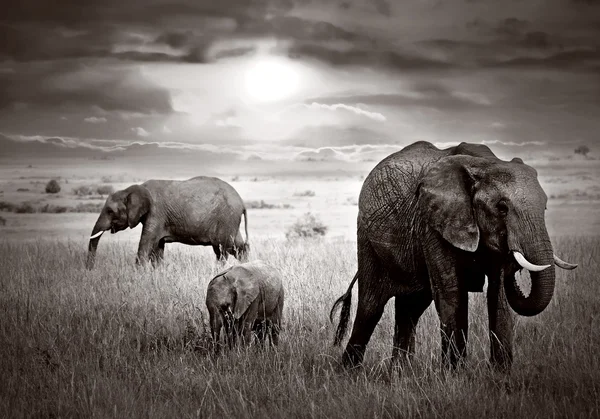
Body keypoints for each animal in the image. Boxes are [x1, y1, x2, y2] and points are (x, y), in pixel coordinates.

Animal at [85, 176, 250, 270]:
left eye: (110, 211)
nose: (90, 270)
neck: (132, 189)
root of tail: (242, 202)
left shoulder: (156, 213)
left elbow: (146, 243)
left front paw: (138, 275)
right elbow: (157, 247)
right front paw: (158, 273)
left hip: (226, 218)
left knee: (222, 250)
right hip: (230, 221)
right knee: (238, 247)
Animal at [330, 142, 580, 374]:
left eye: (545, 207)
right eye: (502, 208)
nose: (512, 258)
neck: (483, 164)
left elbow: (498, 295)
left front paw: (501, 376)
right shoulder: (433, 221)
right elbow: (452, 292)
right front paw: (455, 376)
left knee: (410, 309)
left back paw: (400, 374)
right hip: (367, 238)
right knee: (371, 307)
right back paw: (350, 373)